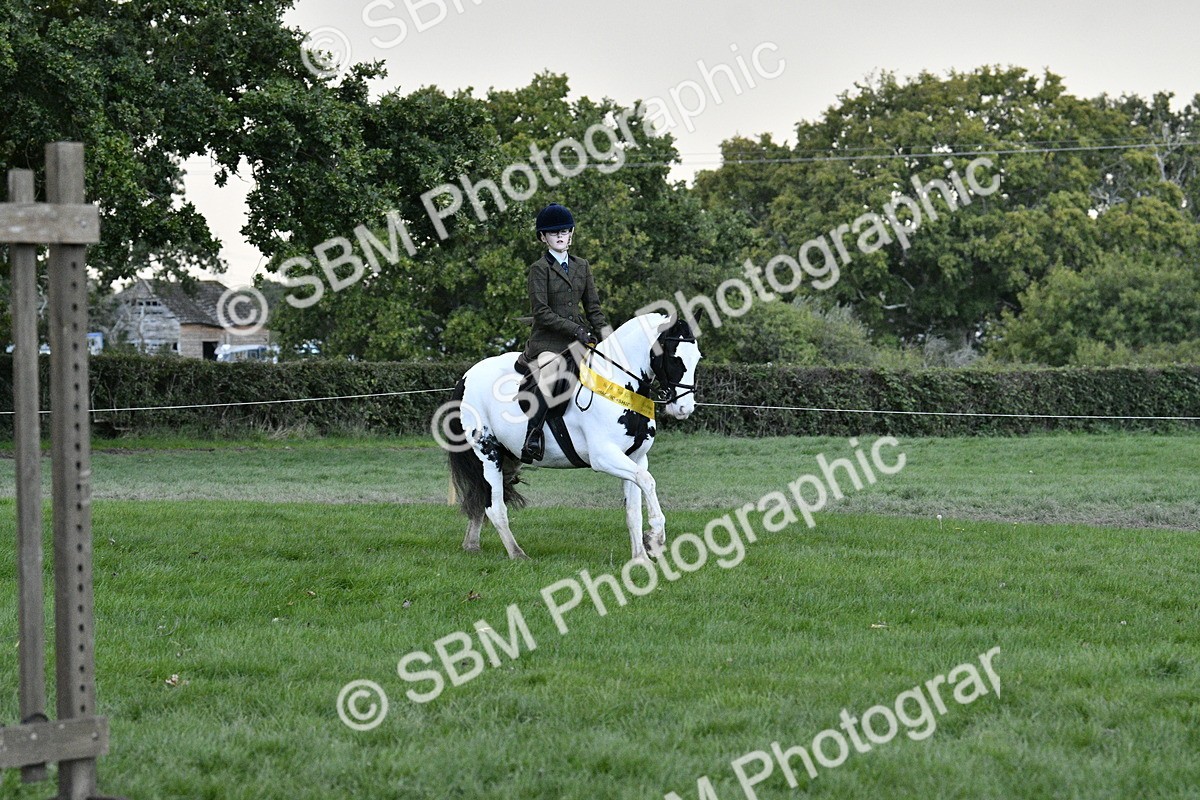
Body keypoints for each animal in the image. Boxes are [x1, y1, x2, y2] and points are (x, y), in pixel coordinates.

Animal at [445, 312, 700, 562]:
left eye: (697, 358)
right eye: (674, 358)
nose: (684, 408)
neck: (619, 384)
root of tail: (466, 377)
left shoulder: (636, 458)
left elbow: (634, 510)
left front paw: (641, 558)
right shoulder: (604, 457)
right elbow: (648, 481)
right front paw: (656, 537)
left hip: (509, 456)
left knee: (482, 498)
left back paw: (471, 545)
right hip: (487, 453)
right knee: (495, 506)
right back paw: (517, 554)